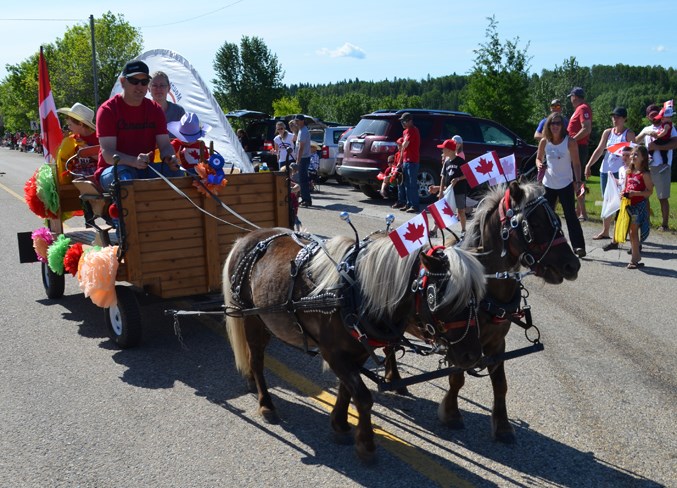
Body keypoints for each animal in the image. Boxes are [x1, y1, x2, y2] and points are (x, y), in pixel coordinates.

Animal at [222, 229, 486, 462]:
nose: (472, 355)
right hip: (252, 318)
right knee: (256, 360)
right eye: (440, 300)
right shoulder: (333, 353)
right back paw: (265, 403)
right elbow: (363, 397)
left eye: (477, 298)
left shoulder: (357, 353)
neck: (352, 292)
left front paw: (339, 424)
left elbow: (346, 390)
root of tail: (246, 238)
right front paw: (366, 444)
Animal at [388, 179, 580, 442]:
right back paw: (395, 380)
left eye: (557, 222)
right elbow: (457, 378)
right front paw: (451, 414)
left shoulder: (497, 343)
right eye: (534, 224)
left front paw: (503, 426)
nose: (573, 265)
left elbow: (500, 384)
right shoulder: (460, 343)